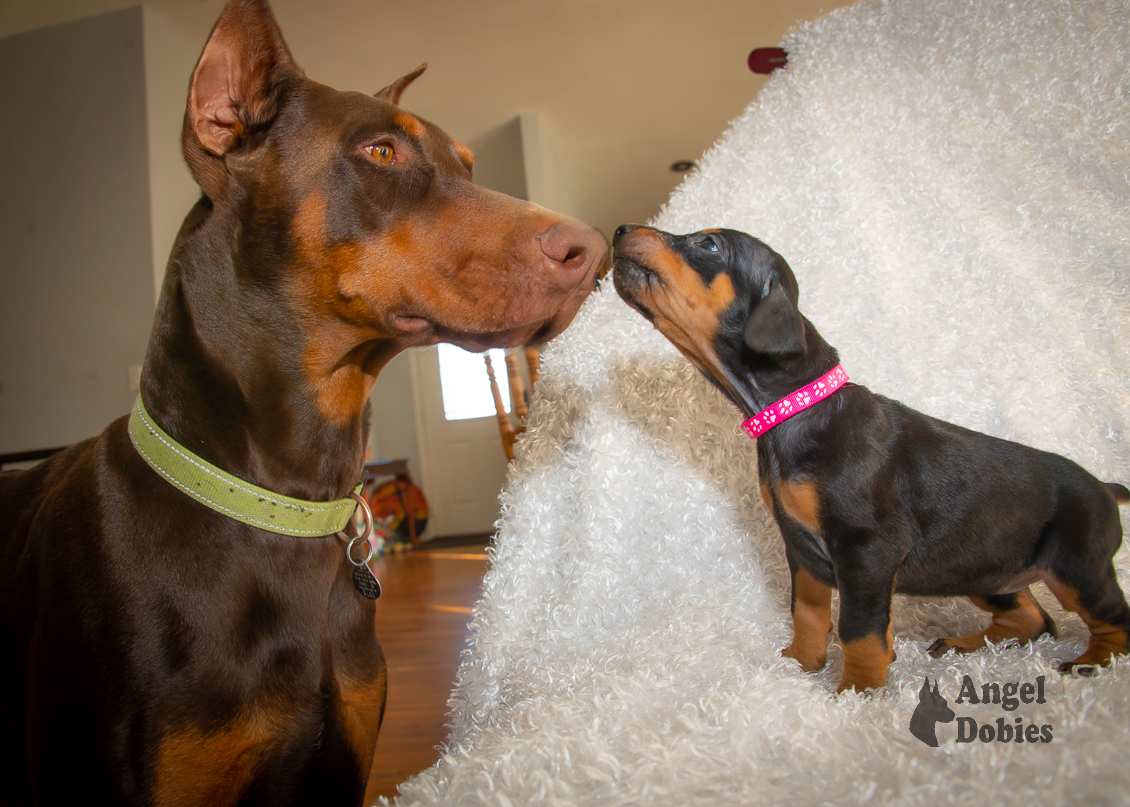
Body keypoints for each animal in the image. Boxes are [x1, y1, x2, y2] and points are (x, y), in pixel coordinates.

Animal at [614, 226, 1130, 691]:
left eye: (709, 244)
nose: (621, 229)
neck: (799, 408)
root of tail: (1106, 487)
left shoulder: (868, 550)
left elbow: (859, 629)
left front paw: (858, 692)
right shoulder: (801, 547)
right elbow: (807, 612)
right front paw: (799, 665)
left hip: (1077, 568)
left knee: (1113, 619)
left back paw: (1092, 664)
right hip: (984, 567)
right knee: (1034, 619)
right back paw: (962, 645)